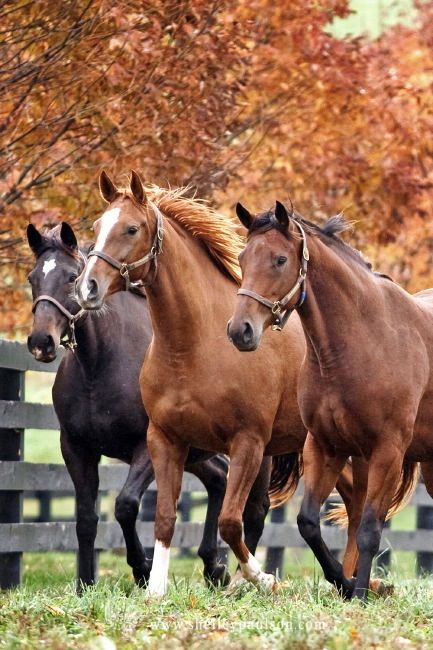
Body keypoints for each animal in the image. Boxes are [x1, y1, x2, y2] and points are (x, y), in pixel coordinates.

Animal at [27, 220, 272, 588]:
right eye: (32, 278)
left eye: (71, 276)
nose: (41, 342)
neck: (99, 365)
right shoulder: (76, 448)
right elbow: (86, 518)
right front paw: (85, 584)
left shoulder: (146, 446)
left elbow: (126, 505)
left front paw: (142, 568)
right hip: (197, 453)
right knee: (219, 479)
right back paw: (213, 566)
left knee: (255, 508)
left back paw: (240, 578)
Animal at [72, 170, 358, 596]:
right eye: (95, 227)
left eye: (131, 228)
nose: (86, 287)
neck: (193, 347)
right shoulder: (165, 440)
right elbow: (166, 517)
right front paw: (155, 589)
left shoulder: (246, 443)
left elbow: (228, 521)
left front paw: (262, 578)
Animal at [228, 201, 424, 596]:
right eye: (242, 257)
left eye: (279, 260)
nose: (240, 330)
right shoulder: (325, 446)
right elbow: (308, 523)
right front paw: (345, 584)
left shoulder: (389, 451)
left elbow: (370, 529)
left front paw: (360, 593)